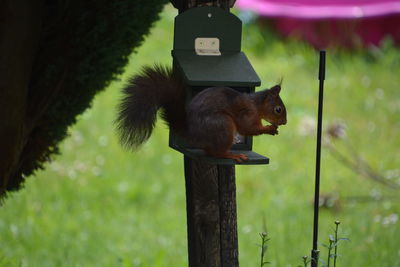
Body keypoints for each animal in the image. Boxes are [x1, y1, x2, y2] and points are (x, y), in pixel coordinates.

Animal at [116, 65, 288, 163]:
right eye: (278, 109)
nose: (284, 122)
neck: (256, 105)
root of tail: (190, 132)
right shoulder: (247, 113)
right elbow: (247, 129)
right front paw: (269, 129)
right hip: (223, 124)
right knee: (216, 153)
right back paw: (231, 155)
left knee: (210, 151)